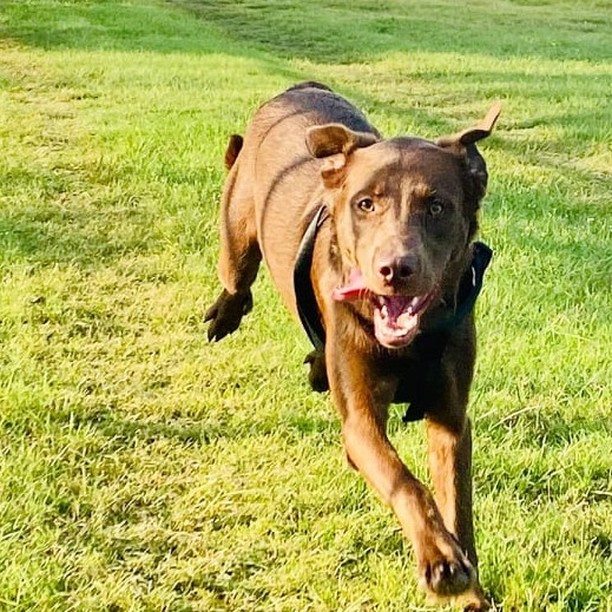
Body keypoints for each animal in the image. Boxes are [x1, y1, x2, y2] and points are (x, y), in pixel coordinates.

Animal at [207, 82, 502, 612]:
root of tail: (299, 88)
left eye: (437, 206)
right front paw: (441, 561)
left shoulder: (451, 417)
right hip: (236, 234)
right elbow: (404, 481)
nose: (395, 268)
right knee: (238, 281)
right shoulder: (361, 423)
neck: (411, 341)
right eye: (366, 204)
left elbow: (456, 501)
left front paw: (467, 583)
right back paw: (227, 313)